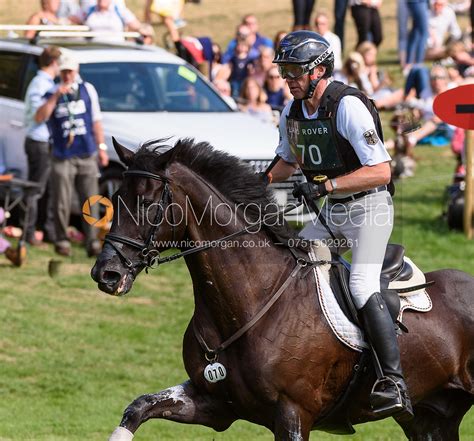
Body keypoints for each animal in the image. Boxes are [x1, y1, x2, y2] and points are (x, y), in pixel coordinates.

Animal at [91, 138, 474, 440]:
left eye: (146, 203)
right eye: (115, 198)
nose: (105, 273)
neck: (249, 302)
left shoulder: (292, 414)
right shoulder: (213, 403)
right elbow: (139, 407)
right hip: (430, 417)